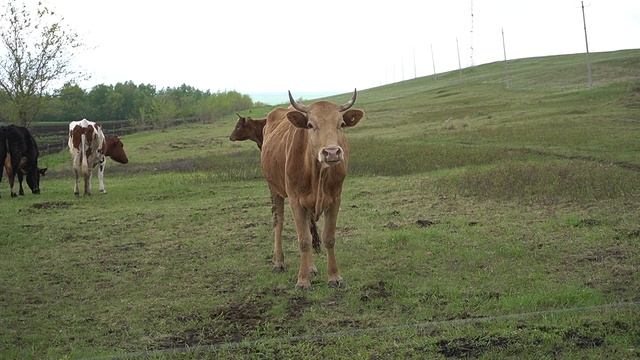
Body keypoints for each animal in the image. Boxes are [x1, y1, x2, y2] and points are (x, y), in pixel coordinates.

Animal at [260, 89, 362, 290]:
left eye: (341, 124)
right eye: (310, 125)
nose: (331, 152)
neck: (317, 173)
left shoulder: (335, 199)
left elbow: (328, 237)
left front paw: (334, 276)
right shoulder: (295, 200)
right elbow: (304, 240)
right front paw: (302, 280)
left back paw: (311, 267)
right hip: (274, 189)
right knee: (278, 223)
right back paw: (279, 262)